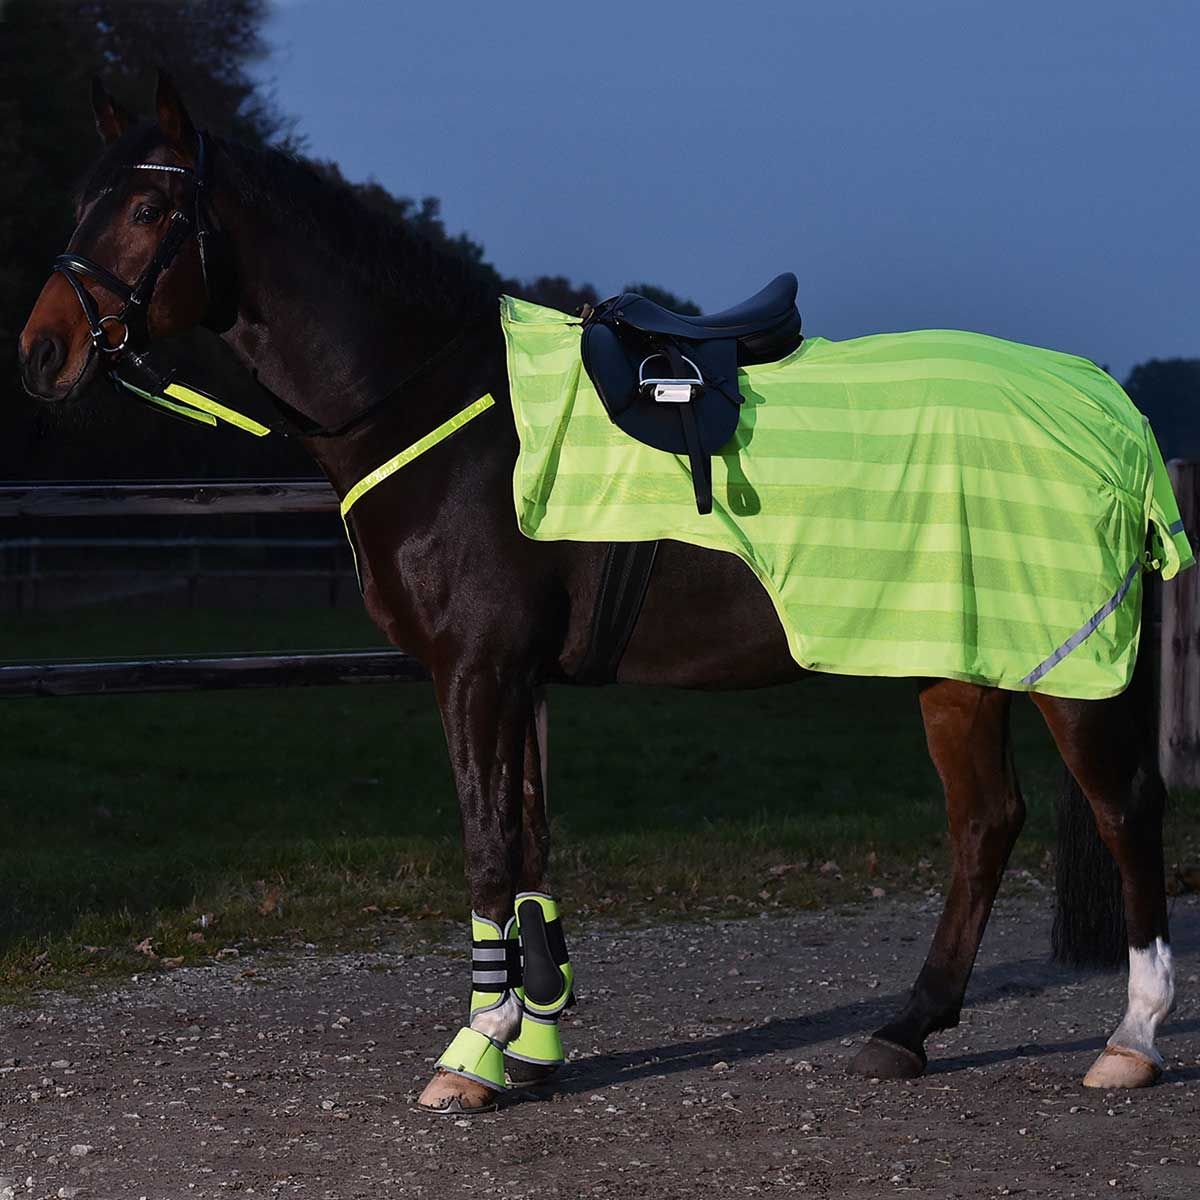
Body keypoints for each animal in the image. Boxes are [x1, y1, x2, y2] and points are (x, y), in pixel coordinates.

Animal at [17, 74, 1176, 1113]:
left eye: (149, 210)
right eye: (81, 201)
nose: (42, 352)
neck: (443, 406)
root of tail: (1107, 408)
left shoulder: (476, 671)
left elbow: (489, 848)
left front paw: (472, 1054)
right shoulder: (519, 678)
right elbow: (530, 846)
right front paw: (529, 1051)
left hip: (1068, 668)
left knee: (1125, 809)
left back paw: (1130, 1040)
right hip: (956, 661)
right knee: (985, 825)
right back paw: (907, 1030)